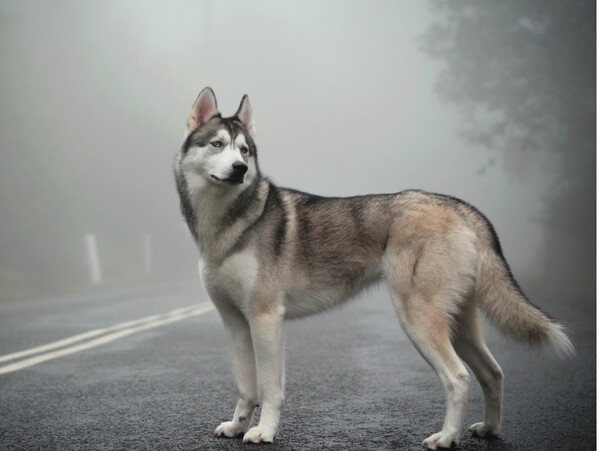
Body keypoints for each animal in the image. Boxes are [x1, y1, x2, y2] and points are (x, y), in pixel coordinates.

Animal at [171, 87, 576, 448]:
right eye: (217, 145)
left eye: (244, 150)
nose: (239, 169)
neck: (227, 224)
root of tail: (461, 207)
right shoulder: (235, 322)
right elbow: (246, 386)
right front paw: (237, 427)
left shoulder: (266, 318)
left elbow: (270, 388)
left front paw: (263, 432)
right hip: (460, 327)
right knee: (493, 373)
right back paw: (490, 430)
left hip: (418, 321)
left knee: (458, 378)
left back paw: (446, 437)